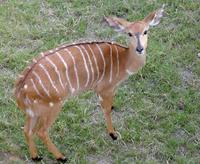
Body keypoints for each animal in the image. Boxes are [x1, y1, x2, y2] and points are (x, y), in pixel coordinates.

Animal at [14, 5, 164, 162]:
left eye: (146, 31)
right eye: (129, 33)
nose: (140, 49)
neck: (124, 60)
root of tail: (19, 90)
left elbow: (110, 107)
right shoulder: (105, 89)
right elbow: (107, 110)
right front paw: (113, 134)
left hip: (34, 112)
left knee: (27, 130)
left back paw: (36, 156)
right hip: (54, 106)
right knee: (41, 131)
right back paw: (61, 157)